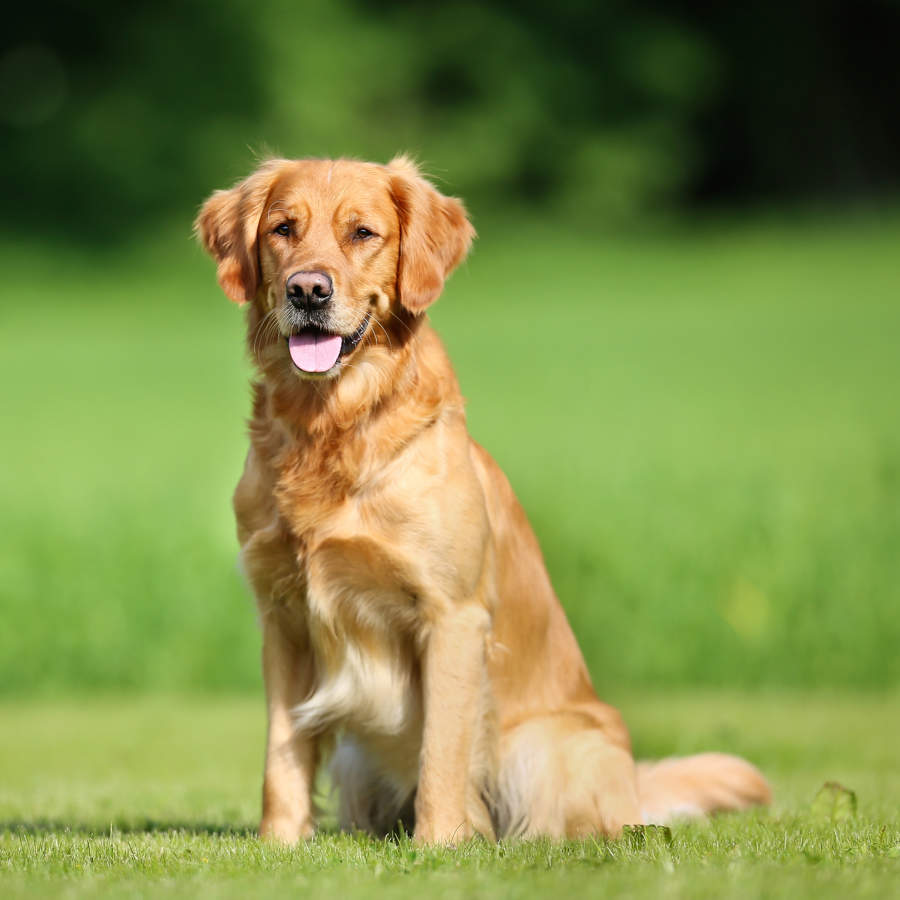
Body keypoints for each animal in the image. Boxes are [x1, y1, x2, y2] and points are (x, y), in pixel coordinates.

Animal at [193, 156, 768, 844]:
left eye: (362, 233)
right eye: (283, 229)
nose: (309, 291)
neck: (331, 426)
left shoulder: (452, 616)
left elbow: (442, 750)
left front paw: (439, 843)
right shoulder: (283, 618)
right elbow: (282, 754)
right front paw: (278, 843)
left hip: (549, 748)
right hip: (359, 760)